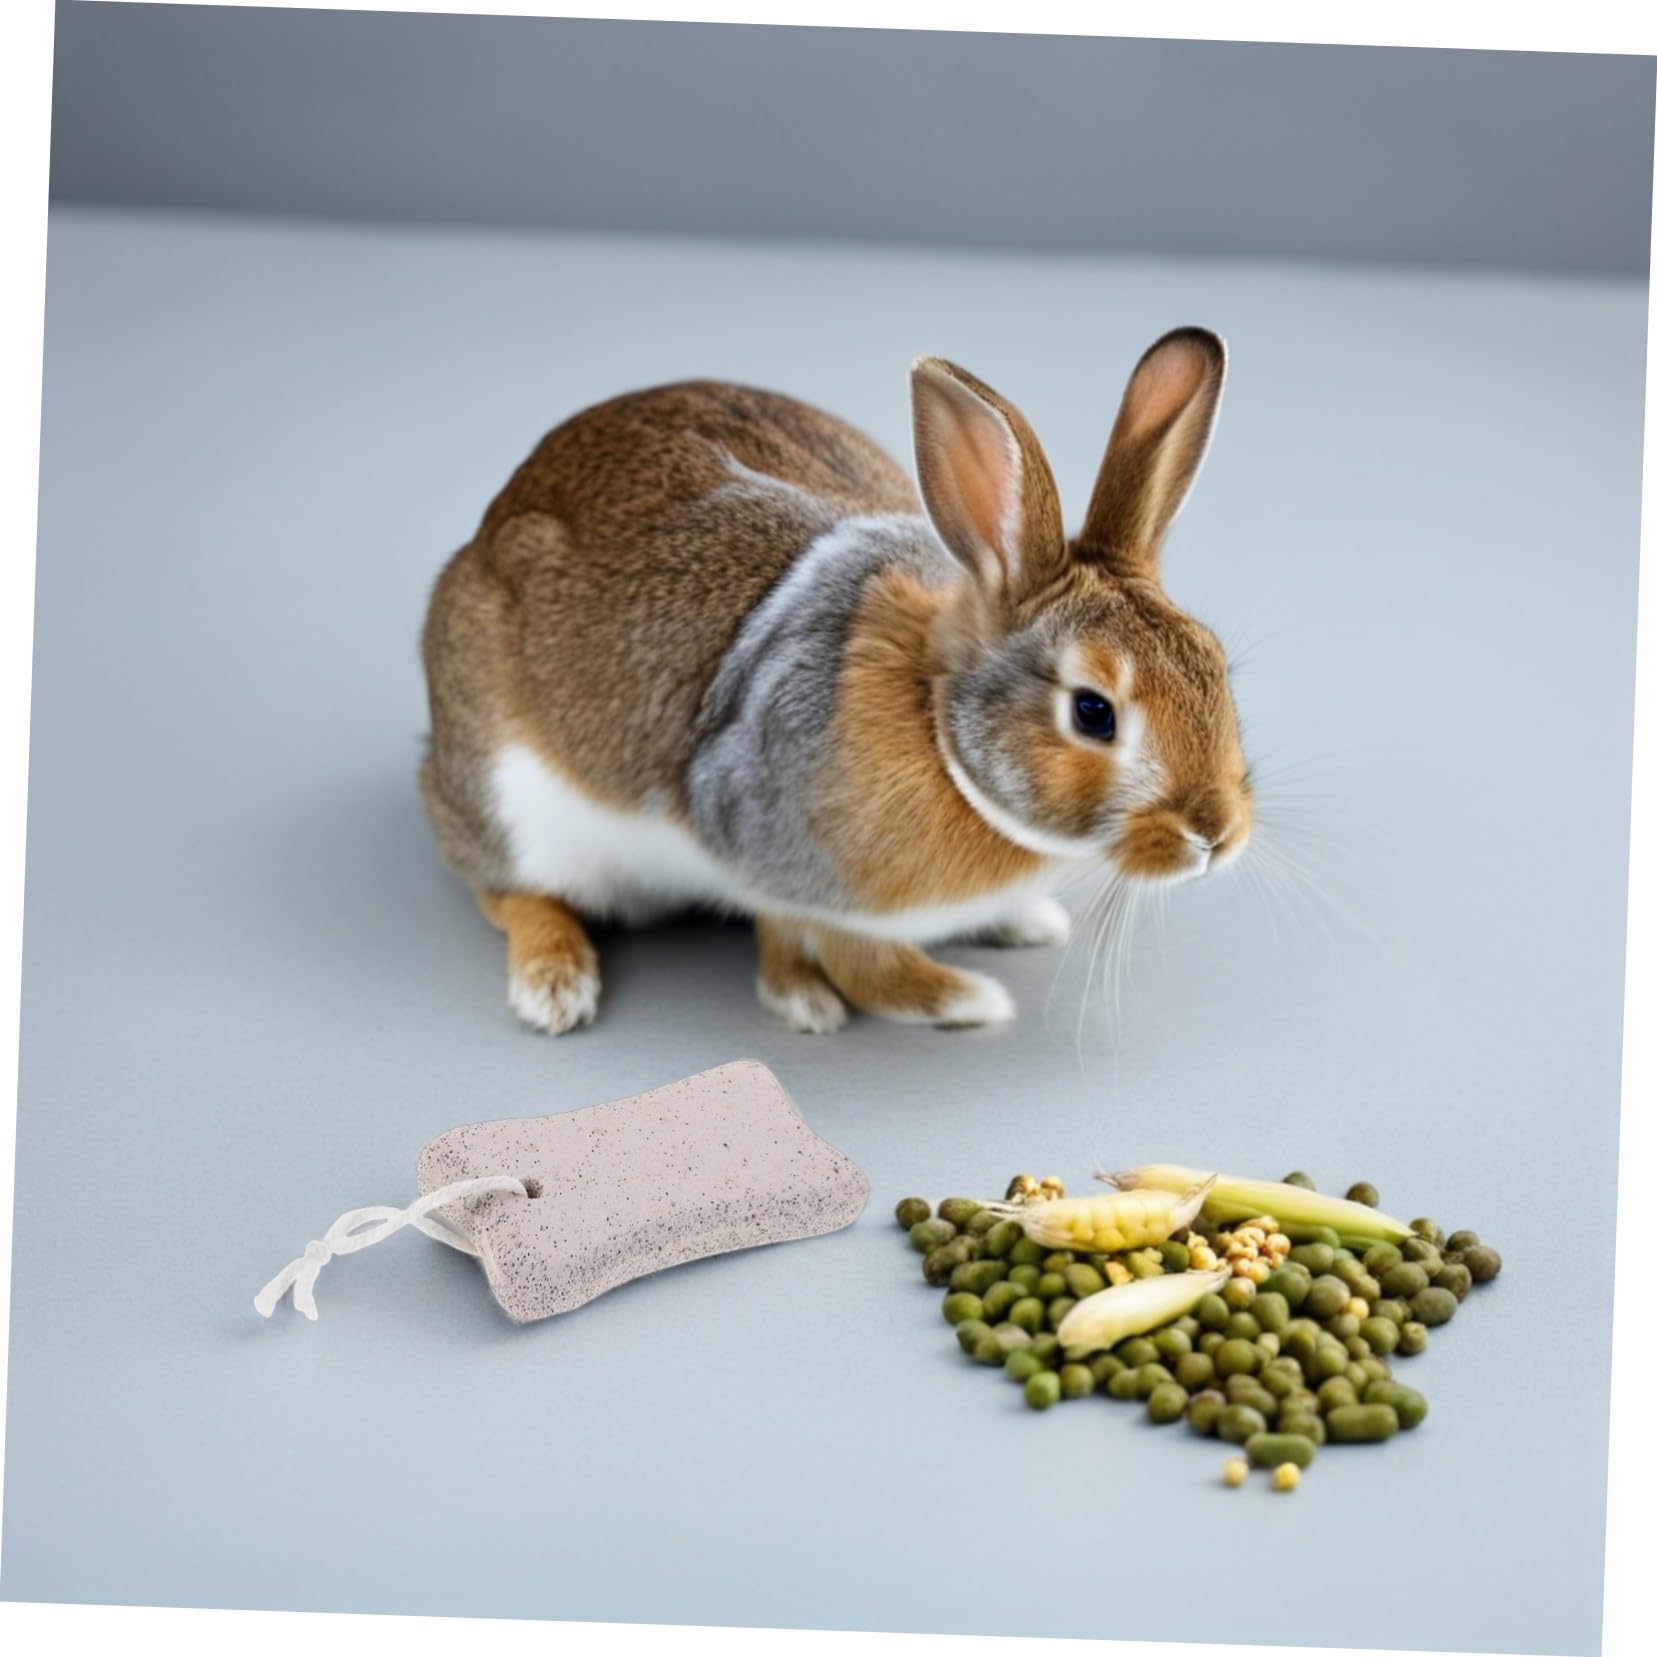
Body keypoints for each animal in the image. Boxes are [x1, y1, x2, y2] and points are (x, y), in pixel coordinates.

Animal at [419, 326, 1251, 1035]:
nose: (1217, 835)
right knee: (505, 890)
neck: (938, 728)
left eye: (1212, 662)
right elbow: (855, 962)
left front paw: (1021, 924)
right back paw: (553, 987)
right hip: (510, 803)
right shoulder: (776, 860)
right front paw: (952, 1000)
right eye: (1091, 712)